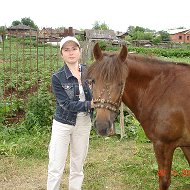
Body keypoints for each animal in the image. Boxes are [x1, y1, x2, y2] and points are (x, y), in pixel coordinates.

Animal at [87, 43, 190, 190]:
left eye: (121, 83)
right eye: (93, 81)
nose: (102, 126)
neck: (163, 90)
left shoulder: (163, 145)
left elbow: (164, 181)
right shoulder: (185, 145)